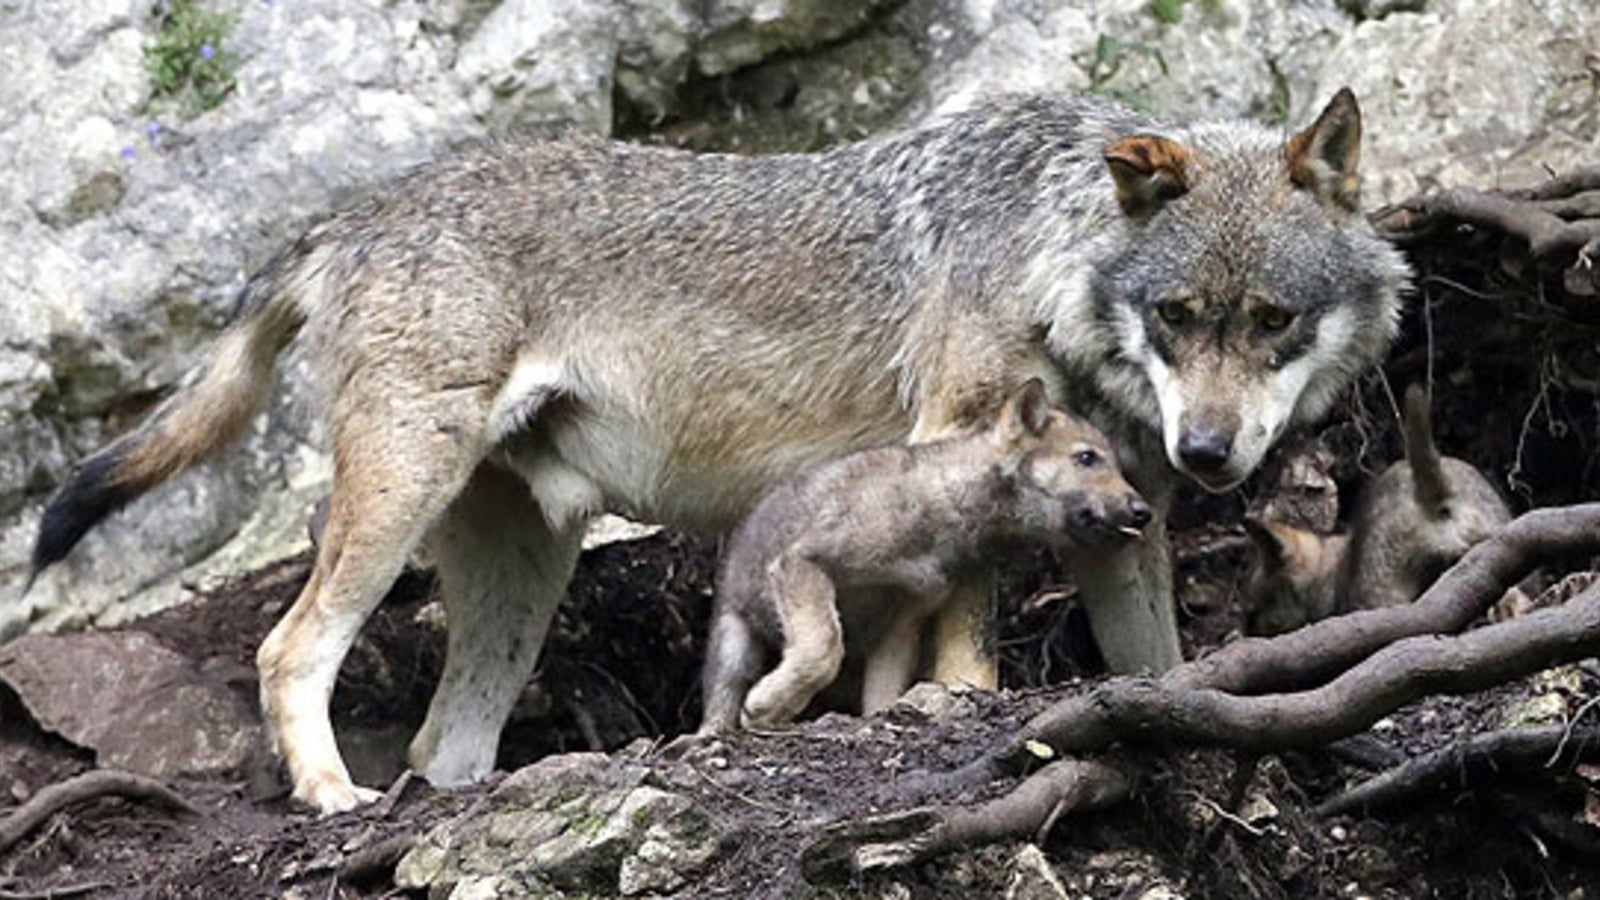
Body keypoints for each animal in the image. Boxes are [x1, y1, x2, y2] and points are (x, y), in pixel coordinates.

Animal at [698, 379, 1151, 734]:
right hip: (734, 638)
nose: (1143, 512)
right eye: (1087, 457)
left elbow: (881, 693)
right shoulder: (803, 562)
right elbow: (824, 647)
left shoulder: (904, 619)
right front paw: (767, 706)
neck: (946, 504)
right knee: (720, 699)